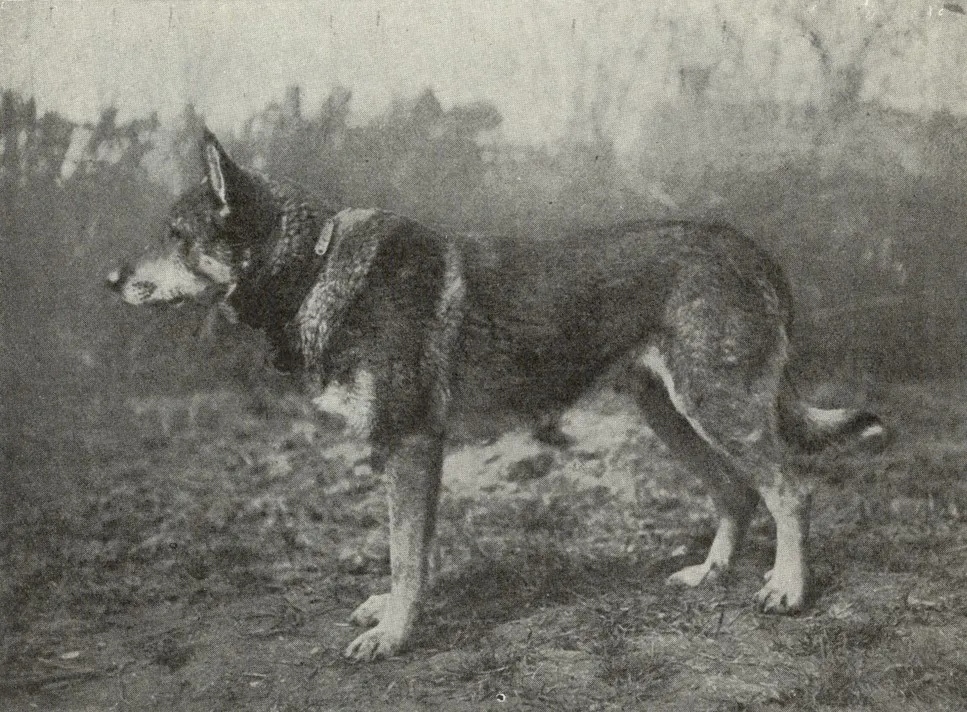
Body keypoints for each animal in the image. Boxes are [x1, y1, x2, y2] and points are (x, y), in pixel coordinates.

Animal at [106, 128, 884, 660]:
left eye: (176, 236)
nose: (110, 280)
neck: (316, 268)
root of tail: (747, 248)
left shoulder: (412, 445)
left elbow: (405, 555)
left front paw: (394, 634)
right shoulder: (409, 453)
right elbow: (411, 554)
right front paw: (392, 614)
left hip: (716, 406)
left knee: (790, 491)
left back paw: (787, 588)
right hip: (671, 413)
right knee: (737, 494)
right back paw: (708, 573)